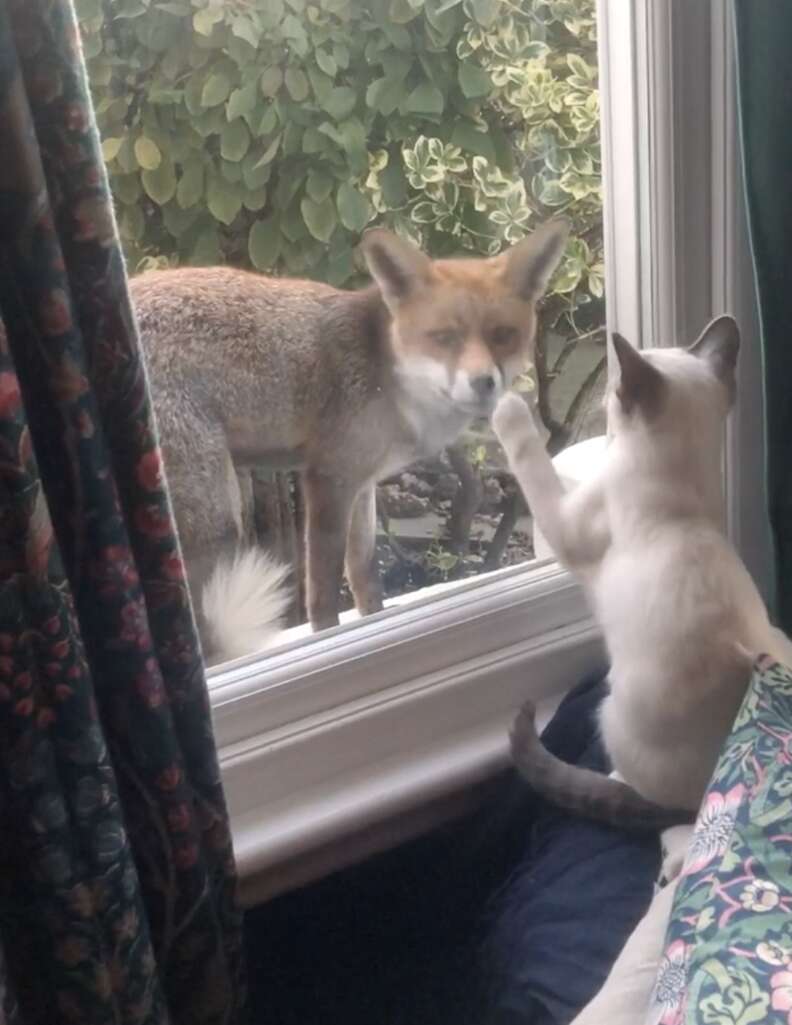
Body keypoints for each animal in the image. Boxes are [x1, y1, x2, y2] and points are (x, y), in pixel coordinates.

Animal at [491, 315, 790, 828]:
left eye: (612, 397)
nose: (606, 417)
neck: (684, 503)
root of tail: (700, 804)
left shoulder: (567, 523)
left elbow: (534, 461)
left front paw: (507, 404)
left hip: (610, 711)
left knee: (634, 787)